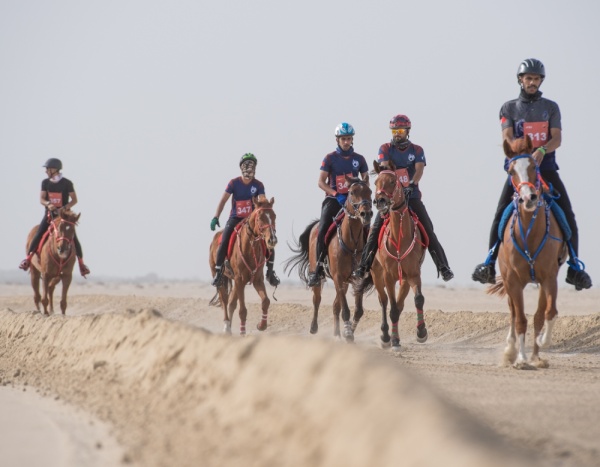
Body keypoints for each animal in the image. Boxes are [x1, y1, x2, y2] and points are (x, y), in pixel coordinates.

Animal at [210, 197, 278, 336]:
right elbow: (242, 310)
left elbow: (266, 301)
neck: (250, 247)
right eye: (260, 217)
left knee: (231, 303)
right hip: (220, 277)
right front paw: (242, 332)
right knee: (224, 300)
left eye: (274, 216)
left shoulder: (257, 279)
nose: (272, 240)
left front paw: (261, 325)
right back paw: (227, 326)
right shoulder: (240, 280)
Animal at [284, 177, 372, 342]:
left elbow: (358, 311)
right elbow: (345, 310)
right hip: (319, 274)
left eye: (370, 191)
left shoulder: (357, 279)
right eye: (352, 192)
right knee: (317, 300)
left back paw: (337, 333)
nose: (366, 214)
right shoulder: (338, 277)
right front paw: (348, 333)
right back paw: (314, 328)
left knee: (335, 305)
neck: (352, 243)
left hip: (345, 282)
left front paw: (348, 331)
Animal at [354, 163, 428, 352]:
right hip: (377, 275)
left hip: (403, 280)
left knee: (399, 304)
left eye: (393, 181)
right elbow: (392, 308)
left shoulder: (413, 274)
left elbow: (418, 299)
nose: (380, 201)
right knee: (384, 302)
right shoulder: (387, 276)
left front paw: (421, 332)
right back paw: (386, 336)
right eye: (376, 182)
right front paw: (393, 341)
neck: (400, 237)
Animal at [488, 135, 568, 370]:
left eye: (534, 166)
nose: (529, 198)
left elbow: (548, 313)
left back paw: (536, 356)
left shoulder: (549, 278)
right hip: (509, 282)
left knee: (539, 314)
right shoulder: (513, 281)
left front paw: (540, 344)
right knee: (514, 313)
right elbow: (520, 319)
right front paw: (520, 358)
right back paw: (511, 350)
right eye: (510, 170)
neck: (530, 236)